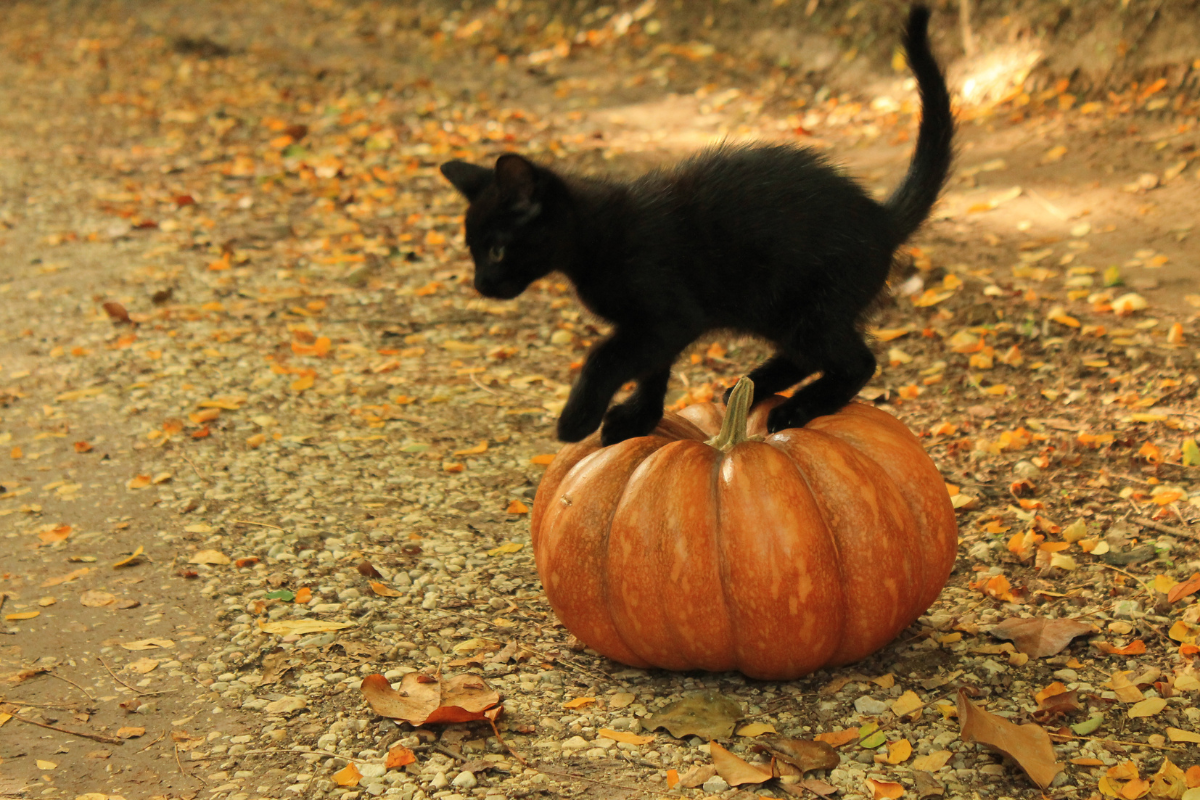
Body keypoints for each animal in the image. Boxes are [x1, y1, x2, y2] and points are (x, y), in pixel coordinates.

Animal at [436, 6, 950, 448]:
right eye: (472, 250)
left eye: (497, 250)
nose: (481, 284)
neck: (595, 236)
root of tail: (881, 218)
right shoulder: (652, 327)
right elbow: (652, 368)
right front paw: (638, 418)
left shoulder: (666, 315)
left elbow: (606, 356)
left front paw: (577, 419)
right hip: (780, 312)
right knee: (809, 355)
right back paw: (754, 384)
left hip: (810, 309)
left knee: (858, 362)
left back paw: (797, 408)